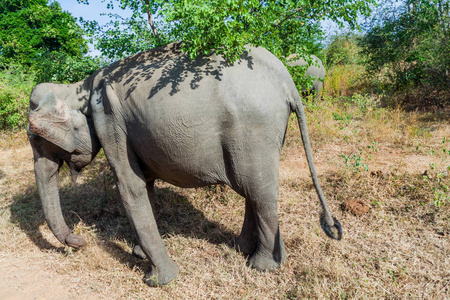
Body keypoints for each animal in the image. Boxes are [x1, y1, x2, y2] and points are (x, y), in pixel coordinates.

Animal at [27, 41, 342, 286]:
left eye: (37, 139)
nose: (79, 240)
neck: (78, 87)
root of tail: (286, 79)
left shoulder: (110, 119)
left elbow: (129, 186)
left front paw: (158, 280)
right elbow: (145, 185)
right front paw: (139, 254)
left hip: (255, 126)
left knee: (259, 190)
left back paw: (262, 265)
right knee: (252, 188)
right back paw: (242, 249)